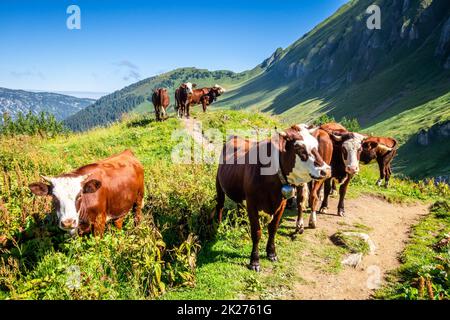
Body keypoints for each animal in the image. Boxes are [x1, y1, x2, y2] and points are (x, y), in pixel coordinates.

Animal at [213, 124, 332, 272]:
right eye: (299, 148)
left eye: (316, 145)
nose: (326, 170)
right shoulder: (252, 203)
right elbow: (256, 232)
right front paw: (254, 261)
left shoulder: (281, 203)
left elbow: (273, 228)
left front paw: (271, 253)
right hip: (219, 184)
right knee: (220, 205)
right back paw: (217, 225)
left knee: (239, 206)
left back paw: (242, 224)